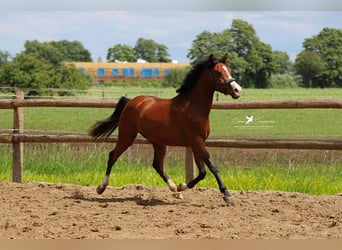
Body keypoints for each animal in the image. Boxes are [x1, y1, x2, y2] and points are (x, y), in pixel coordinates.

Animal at [89, 53, 243, 203]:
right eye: (218, 72)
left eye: (230, 71)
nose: (237, 90)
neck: (193, 107)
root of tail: (131, 102)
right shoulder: (196, 141)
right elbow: (212, 166)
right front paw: (227, 195)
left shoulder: (196, 143)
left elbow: (202, 171)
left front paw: (181, 186)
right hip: (127, 136)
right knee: (112, 156)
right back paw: (101, 188)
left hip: (158, 142)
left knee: (157, 165)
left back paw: (173, 188)